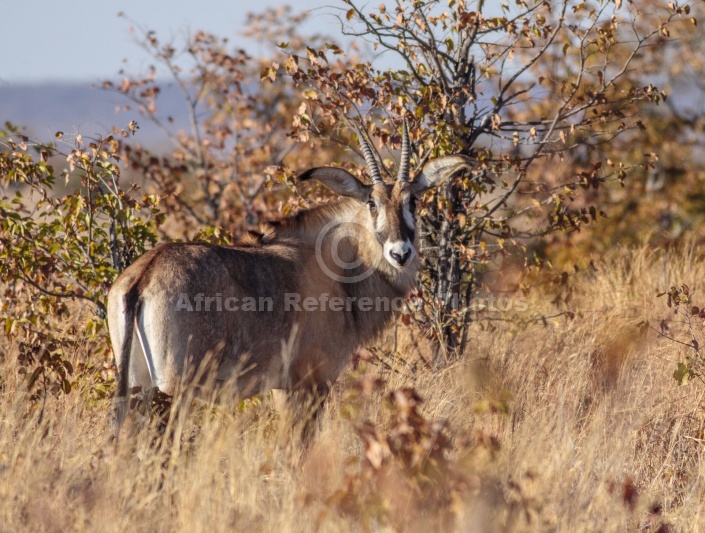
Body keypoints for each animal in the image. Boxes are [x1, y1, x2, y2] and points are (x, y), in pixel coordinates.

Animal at [108, 123, 472, 432]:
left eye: (413, 200)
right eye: (372, 202)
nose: (400, 253)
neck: (337, 264)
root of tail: (145, 275)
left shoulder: (280, 387)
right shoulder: (312, 381)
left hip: (139, 388)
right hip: (175, 389)